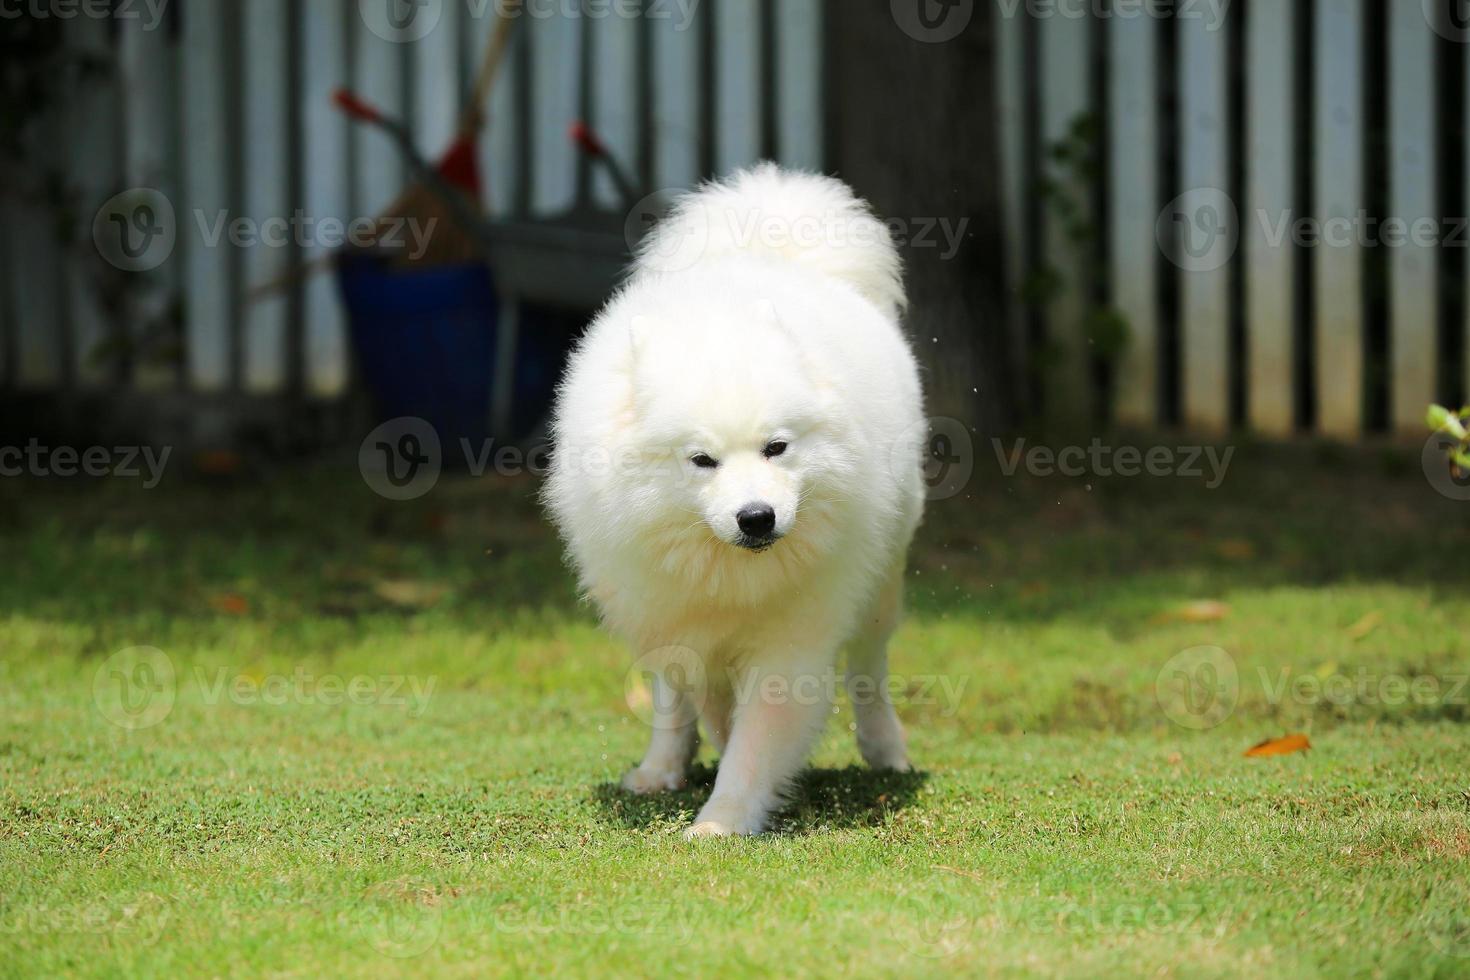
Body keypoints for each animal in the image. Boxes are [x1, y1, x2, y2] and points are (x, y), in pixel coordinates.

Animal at [546, 164, 923, 840]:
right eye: (702, 461)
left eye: (777, 448)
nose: (757, 517)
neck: (727, 568)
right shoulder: (675, 614)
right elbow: (693, 699)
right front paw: (692, 772)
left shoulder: (789, 639)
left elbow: (754, 739)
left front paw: (721, 821)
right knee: (670, 695)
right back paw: (659, 768)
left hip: (881, 585)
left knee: (869, 671)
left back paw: (886, 750)